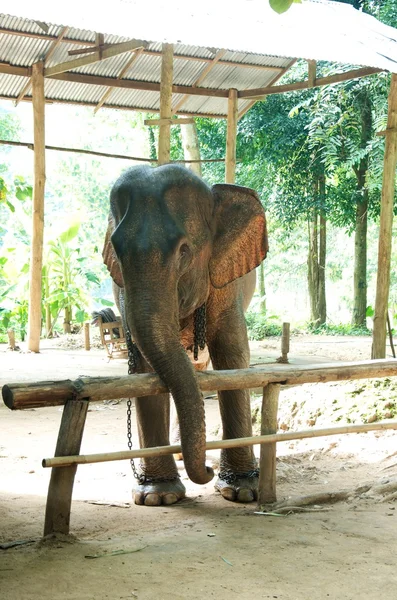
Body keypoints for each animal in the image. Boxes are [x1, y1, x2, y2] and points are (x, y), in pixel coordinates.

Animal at [102, 164, 270, 506]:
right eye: (117, 252)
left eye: (184, 251)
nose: (207, 468)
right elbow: (144, 368)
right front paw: (158, 496)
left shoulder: (227, 285)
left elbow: (233, 357)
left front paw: (243, 490)